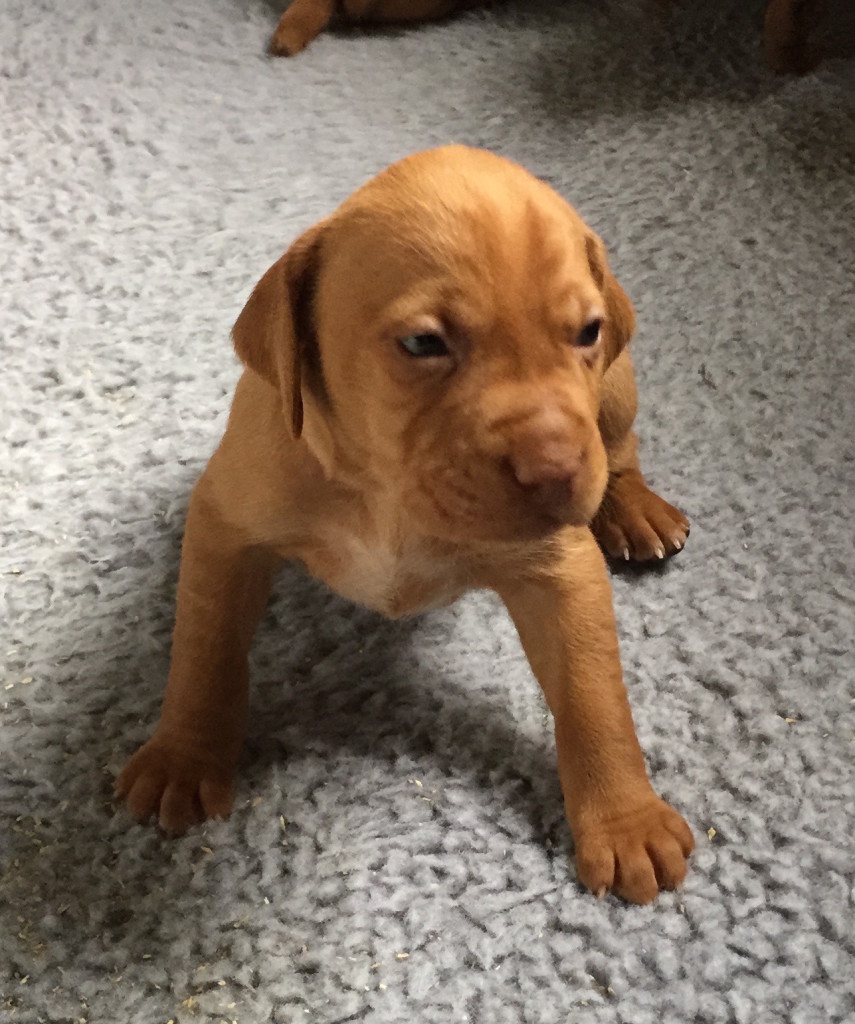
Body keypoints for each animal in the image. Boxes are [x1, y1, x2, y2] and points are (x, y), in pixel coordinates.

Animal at [116, 146, 694, 904]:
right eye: (423, 343)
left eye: (585, 334)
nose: (556, 473)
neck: (386, 494)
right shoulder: (225, 525)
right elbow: (204, 649)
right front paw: (183, 756)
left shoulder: (561, 571)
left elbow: (593, 695)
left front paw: (627, 821)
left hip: (615, 396)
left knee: (620, 447)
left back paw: (633, 507)